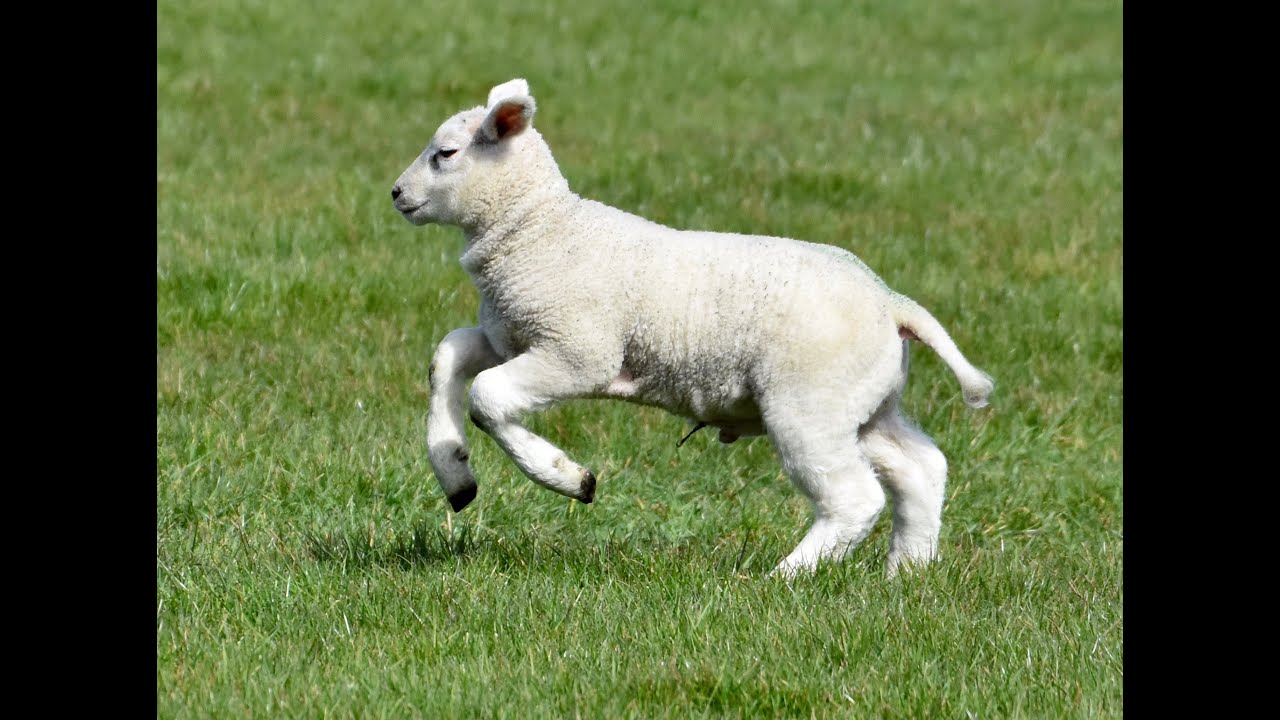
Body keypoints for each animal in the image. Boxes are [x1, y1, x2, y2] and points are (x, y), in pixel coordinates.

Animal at [391, 79, 994, 578]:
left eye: (446, 154)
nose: (396, 193)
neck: (539, 231)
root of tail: (892, 304)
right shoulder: (509, 336)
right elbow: (447, 356)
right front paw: (455, 473)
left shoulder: (578, 350)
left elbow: (489, 397)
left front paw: (569, 478)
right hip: (865, 403)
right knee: (921, 467)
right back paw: (907, 574)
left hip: (809, 403)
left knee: (854, 497)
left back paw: (785, 578)